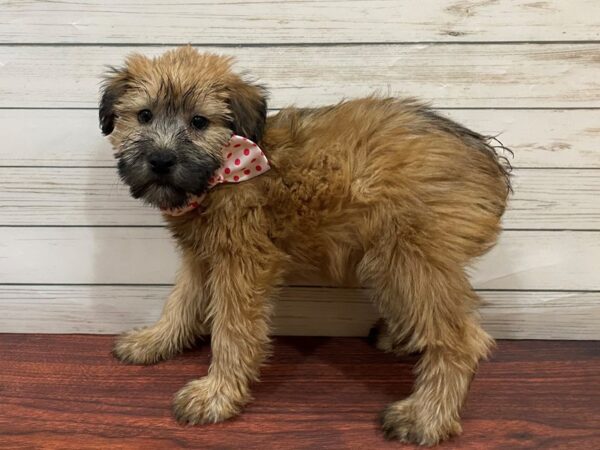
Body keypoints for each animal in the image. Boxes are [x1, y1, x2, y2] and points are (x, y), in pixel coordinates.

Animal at [98, 46, 510, 446]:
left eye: (199, 122)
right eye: (144, 115)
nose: (161, 160)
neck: (223, 172)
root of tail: (486, 157)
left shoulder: (243, 263)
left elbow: (232, 330)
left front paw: (216, 394)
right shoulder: (201, 258)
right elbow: (180, 303)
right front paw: (155, 341)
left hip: (408, 259)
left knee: (462, 339)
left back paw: (426, 417)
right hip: (397, 262)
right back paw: (401, 341)